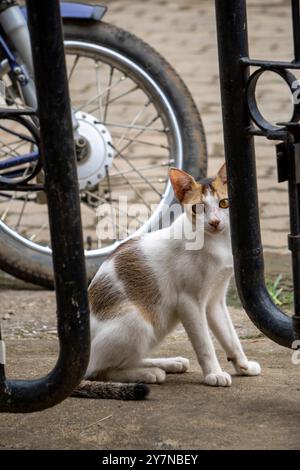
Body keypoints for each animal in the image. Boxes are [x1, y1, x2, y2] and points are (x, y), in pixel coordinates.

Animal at [72, 164, 260, 400]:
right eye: (198, 208)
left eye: (224, 203)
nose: (215, 222)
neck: (215, 243)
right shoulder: (189, 302)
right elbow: (204, 344)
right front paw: (214, 374)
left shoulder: (215, 301)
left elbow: (231, 338)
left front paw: (243, 365)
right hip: (138, 321)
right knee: (100, 370)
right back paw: (148, 374)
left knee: (124, 360)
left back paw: (168, 363)